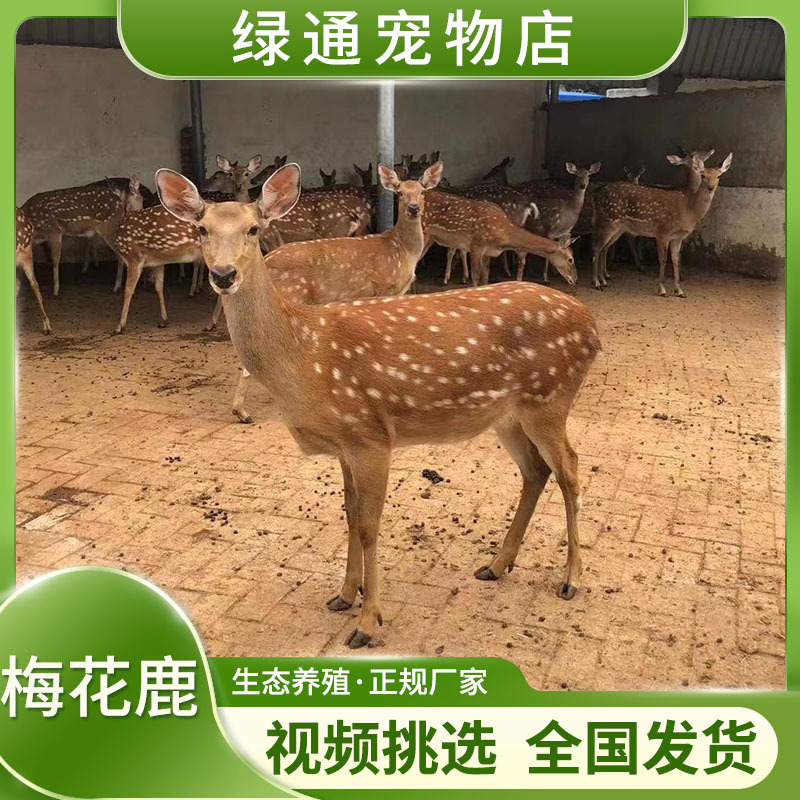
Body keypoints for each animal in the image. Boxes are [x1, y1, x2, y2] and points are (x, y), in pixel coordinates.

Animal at [216, 161, 443, 423]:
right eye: (399, 193)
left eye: (423, 191)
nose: (414, 208)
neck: (402, 250)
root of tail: (267, 261)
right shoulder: (387, 287)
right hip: (292, 293)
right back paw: (244, 412)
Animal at [421, 191, 577, 288]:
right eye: (570, 259)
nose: (575, 278)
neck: (503, 236)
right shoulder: (476, 245)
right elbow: (476, 277)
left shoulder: (488, 252)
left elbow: (485, 278)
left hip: (430, 238)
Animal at [592, 151, 732, 297]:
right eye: (703, 175)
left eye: (718, 176)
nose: (711, 187)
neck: (687, 211)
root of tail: (597, 194)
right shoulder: (662, 231)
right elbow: (663, 259)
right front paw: (662, 289)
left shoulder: (678, 237)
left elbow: (675, 260)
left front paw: (679, 290)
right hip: (608, 220)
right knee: (596, 247)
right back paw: (597, 282)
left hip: (619, 228)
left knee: (604, 248)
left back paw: (604, 280)